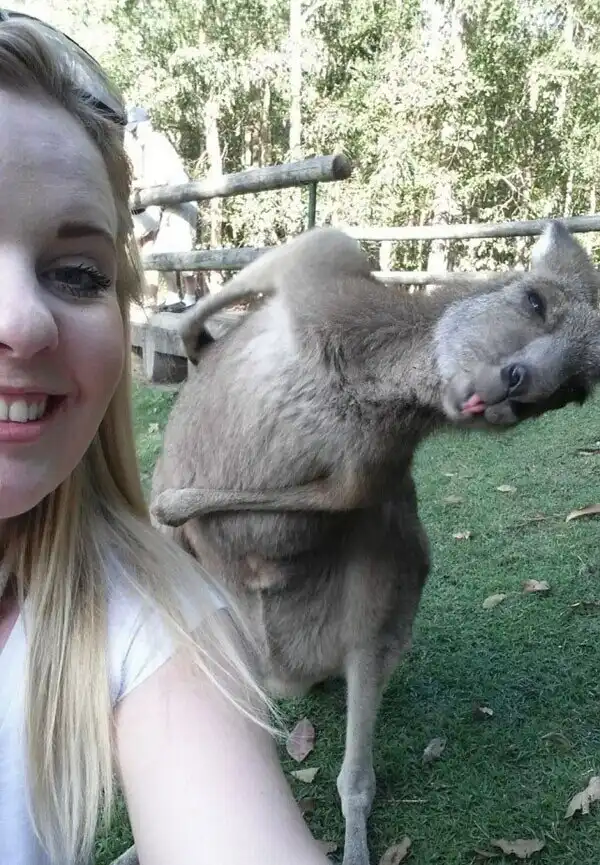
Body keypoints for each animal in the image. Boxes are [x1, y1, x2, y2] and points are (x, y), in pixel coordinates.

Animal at [149, 220, 600, 865]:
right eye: (534, 301)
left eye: (572, 393)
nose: (522, 386)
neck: (372, 382)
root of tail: (287, 673)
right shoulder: (321, 270)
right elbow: (281, 259)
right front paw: (190, 339)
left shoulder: (372, 469)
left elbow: (328, 500)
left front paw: (172, 505)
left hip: (382, 601)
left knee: (354, 773)